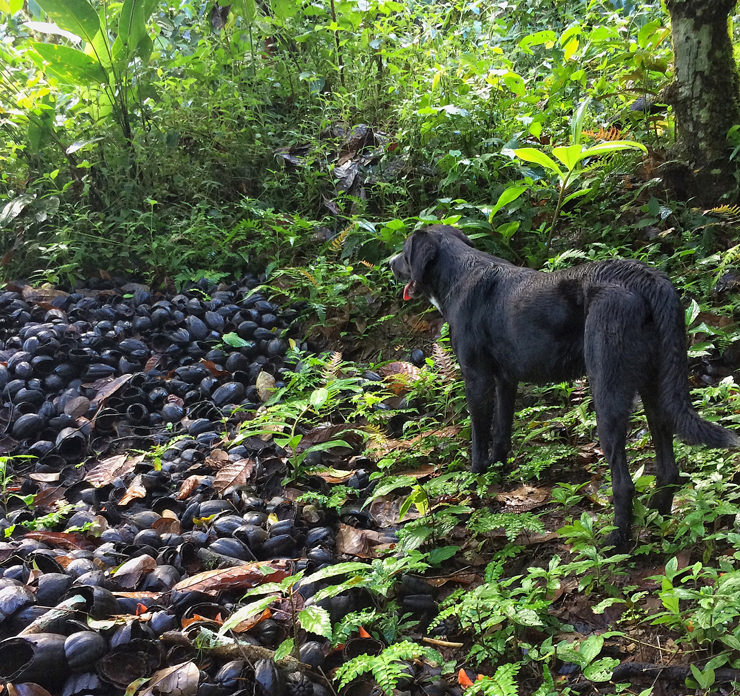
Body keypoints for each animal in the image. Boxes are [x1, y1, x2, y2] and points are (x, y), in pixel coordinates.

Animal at [390, 226, 736, 548]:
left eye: (405, 252)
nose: (390, 263)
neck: (459, 272)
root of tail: (647, 279)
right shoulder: (506, 381)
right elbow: (501, 434)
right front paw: (497, 472)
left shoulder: (477, 379)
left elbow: (479, 439)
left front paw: (476, 480)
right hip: (655, 390)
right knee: (668, 470)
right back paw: (657, 521)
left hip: (607, 393)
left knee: (623, 482)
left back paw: (616, 540)